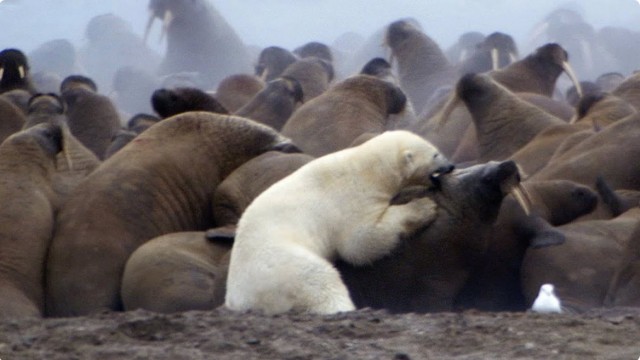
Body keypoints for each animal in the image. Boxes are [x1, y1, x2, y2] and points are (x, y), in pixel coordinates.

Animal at [225, 131, 456, 314]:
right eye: (435, 154)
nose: (451, 165)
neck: (368, 169)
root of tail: (238, 300)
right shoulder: (350, 198)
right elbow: (360, 243)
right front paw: (424, 207)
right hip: (279, 266)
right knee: (318, 279)